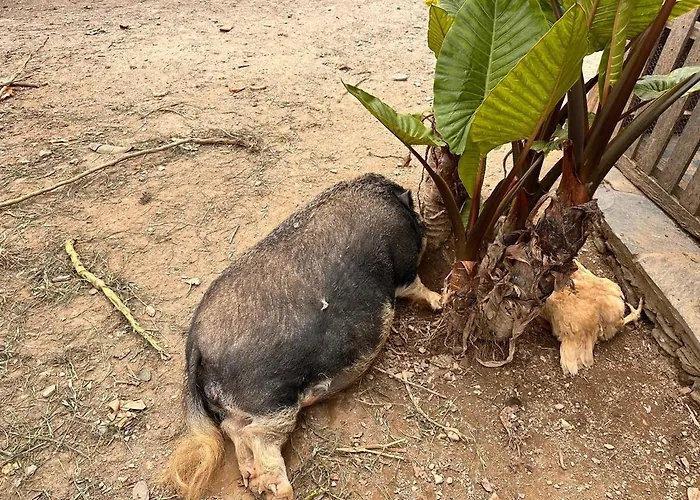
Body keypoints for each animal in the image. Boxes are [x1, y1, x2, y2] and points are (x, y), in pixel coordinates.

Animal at [160, 173, 442, 500]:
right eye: (418, 217)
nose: (428, 232)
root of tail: (194, 344)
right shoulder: (403, 263)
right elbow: (416, 285)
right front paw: (443, 300)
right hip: (271, 399)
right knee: (256, 435)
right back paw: (282, 491)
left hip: (243, 405)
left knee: (233, 429)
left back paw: (252, 480)